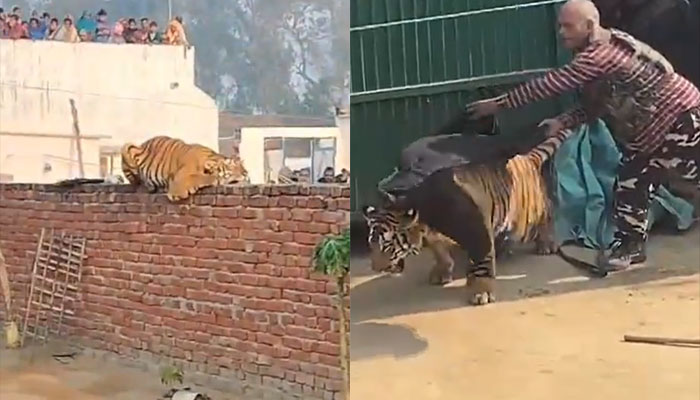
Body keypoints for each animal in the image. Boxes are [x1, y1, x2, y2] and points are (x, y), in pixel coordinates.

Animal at [121, 136, 249, 202]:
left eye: (242, 166)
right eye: (231, 164)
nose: (246, 173)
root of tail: (143, 143)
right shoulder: (179, 181)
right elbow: (200, 177)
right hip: (127, 147)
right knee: (136, 182)